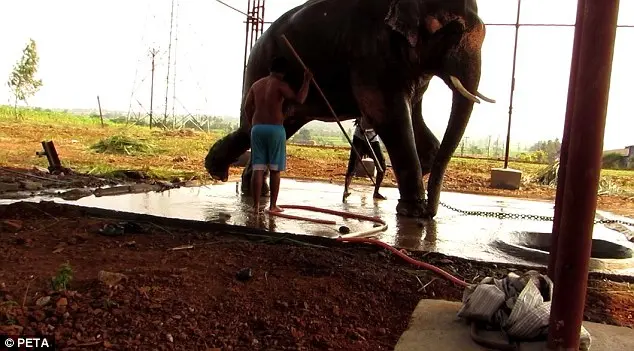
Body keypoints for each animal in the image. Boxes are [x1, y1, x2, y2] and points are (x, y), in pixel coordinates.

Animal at [204, 0, 494, 219]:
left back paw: (251, 189)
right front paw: (411, 211)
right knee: (251, 126)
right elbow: (387, 115)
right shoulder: (371, 53)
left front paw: (418, 186)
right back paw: (218, 172)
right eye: (454, 30)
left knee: (281, 127)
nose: (430, 212)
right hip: (259, 65)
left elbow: (413, 118)